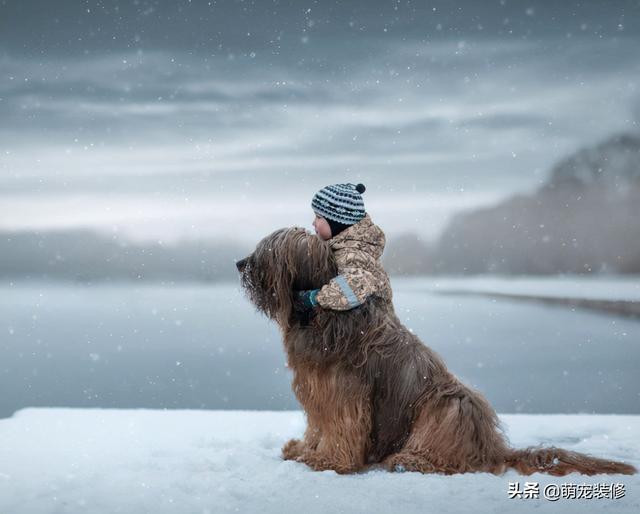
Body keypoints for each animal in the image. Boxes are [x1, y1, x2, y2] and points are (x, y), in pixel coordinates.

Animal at [235, 226, 636, 474]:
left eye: (267, 252)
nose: (239, 263)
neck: (319, 312)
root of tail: (492, 448)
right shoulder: (317, 390)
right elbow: (317, 426)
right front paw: (304, 450)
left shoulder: (343, 392)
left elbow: (341, 427)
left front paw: (328, 461)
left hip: (449, 404)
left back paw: (411, 460)